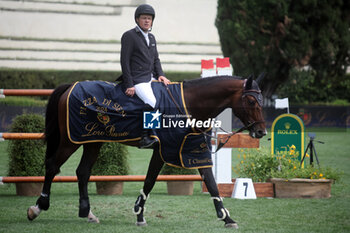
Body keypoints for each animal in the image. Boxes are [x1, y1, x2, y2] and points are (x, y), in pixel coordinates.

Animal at [26, 75, 266, 228]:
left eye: (261, 100)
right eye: (251, 100)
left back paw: (88, 213)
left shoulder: (190, 150)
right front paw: (139, 215)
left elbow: (210, 182)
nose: (261, 131)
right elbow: (150, 181)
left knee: (83, 172)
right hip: (70, 141)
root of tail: (70, 87)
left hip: (93, 141)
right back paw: (38, 207)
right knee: (53, 166)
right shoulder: (165, 149)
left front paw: (227, 218)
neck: (188, 103)